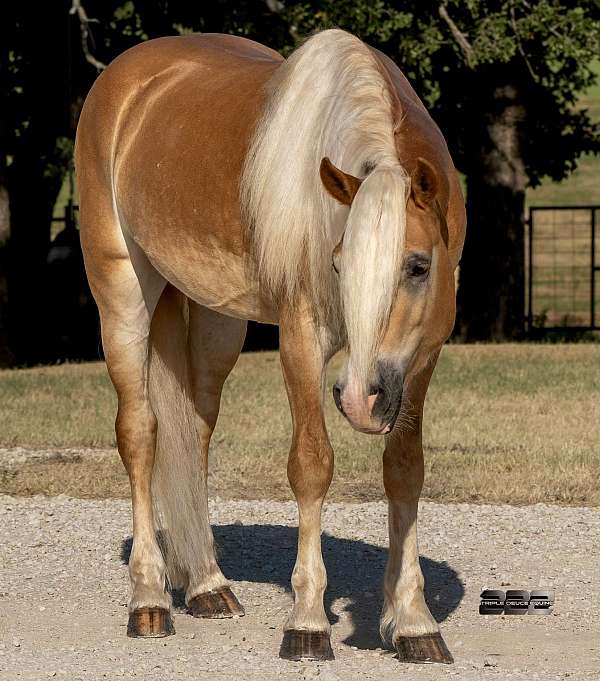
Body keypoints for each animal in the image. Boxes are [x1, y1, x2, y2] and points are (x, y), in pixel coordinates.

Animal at [75, 29, 466, 665]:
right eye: (338, 264)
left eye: (417, 265)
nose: (360, 399)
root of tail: (128, 79)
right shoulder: (302, 340)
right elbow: (311, 465)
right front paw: (307, 622)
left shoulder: (422, 360)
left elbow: (405, 472)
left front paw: (412, 621)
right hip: (122, 294)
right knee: (140, 435)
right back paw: (150, 600)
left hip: (215, 325)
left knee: (194, 435)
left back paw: (206, 585)